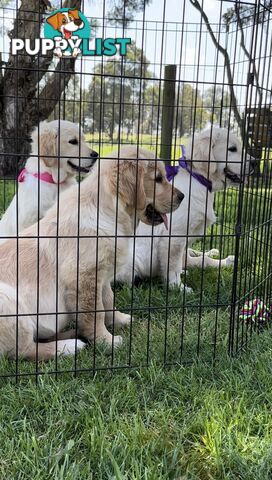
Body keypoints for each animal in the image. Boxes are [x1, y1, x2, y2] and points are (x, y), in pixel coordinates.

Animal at [118, 127, 256, 290]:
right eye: (232, 149)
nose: (255, 162)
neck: (198, 180)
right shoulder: (174, 236)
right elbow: (173, 265)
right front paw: (178, 287)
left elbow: (195, 260)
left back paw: (216, 255)